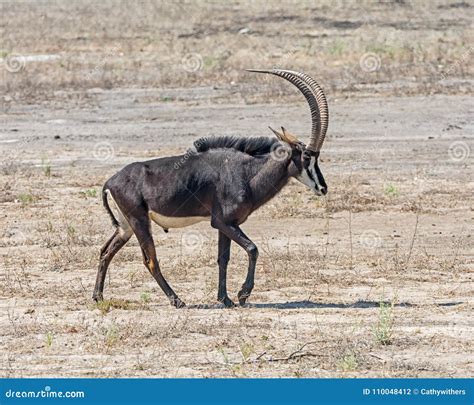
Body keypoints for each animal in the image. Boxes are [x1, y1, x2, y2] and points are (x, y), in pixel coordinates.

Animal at [92, 68, 330, 306]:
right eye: (306, 156)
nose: (323, 188)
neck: (246, 172)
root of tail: (111, 181)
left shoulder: (226, 224)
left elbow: (223, 259)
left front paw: (225, 299)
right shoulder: (223, 222)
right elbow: (253, 249)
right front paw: (242, 295)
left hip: (126, 226)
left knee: (106, 251)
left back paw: (98, 297)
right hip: (139, 222)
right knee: (150, 260)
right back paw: (177, 300)